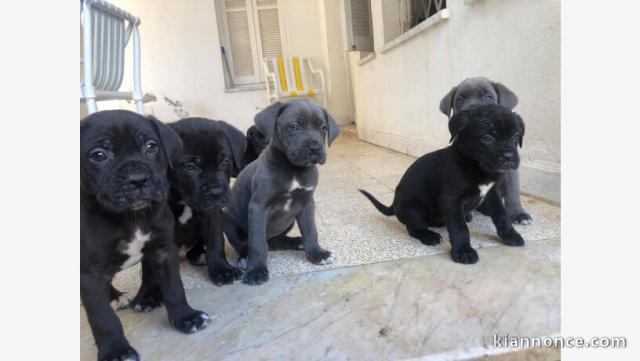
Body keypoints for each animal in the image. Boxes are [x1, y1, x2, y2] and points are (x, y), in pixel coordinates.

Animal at [79, 109, 206, 360]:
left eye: (151, 146)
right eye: (98, 155)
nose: (138, 179)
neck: (131, 216)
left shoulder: (163, 251)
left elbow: (175, 288)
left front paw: (186, 318)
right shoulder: (89, 273)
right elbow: (102, 318)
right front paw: (116, 351)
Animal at [169, 116, 246, 286]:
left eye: (225, 160)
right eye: (189, 167)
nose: (216, 192)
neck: (183, 199)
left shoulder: (212, 215)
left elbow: (215, 242)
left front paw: (222, 270)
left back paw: (199, 255)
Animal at [222, 98, 340, 284]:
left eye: (323, 127)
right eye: (294, 127)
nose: (315, 148)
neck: (293, 170)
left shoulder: (306, 203)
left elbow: (310, 231)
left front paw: (317, 254)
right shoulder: (258, 207)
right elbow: (257, 242)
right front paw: (256, 270)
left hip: (289, 220)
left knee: (276, 241)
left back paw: (297, 242)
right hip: (227, 218)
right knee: (247, 244)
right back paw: (245, 258)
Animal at [360, 104, 524, 264]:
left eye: (515, 136)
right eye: (487, 138)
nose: (509, 157)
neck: (476, 166)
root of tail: (394, 204)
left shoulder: (492, 194)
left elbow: (502, 215)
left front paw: (510, 236)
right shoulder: (451, 200)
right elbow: (459, 227)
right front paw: (463, 251)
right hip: (412, 207)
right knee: (414, 227)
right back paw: (429, 236)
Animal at [440, 76, 528, 224]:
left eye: (488, 97)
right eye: (460, 100)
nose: (472, 109)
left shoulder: (510, 169)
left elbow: (512, 191)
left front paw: (518, 214)